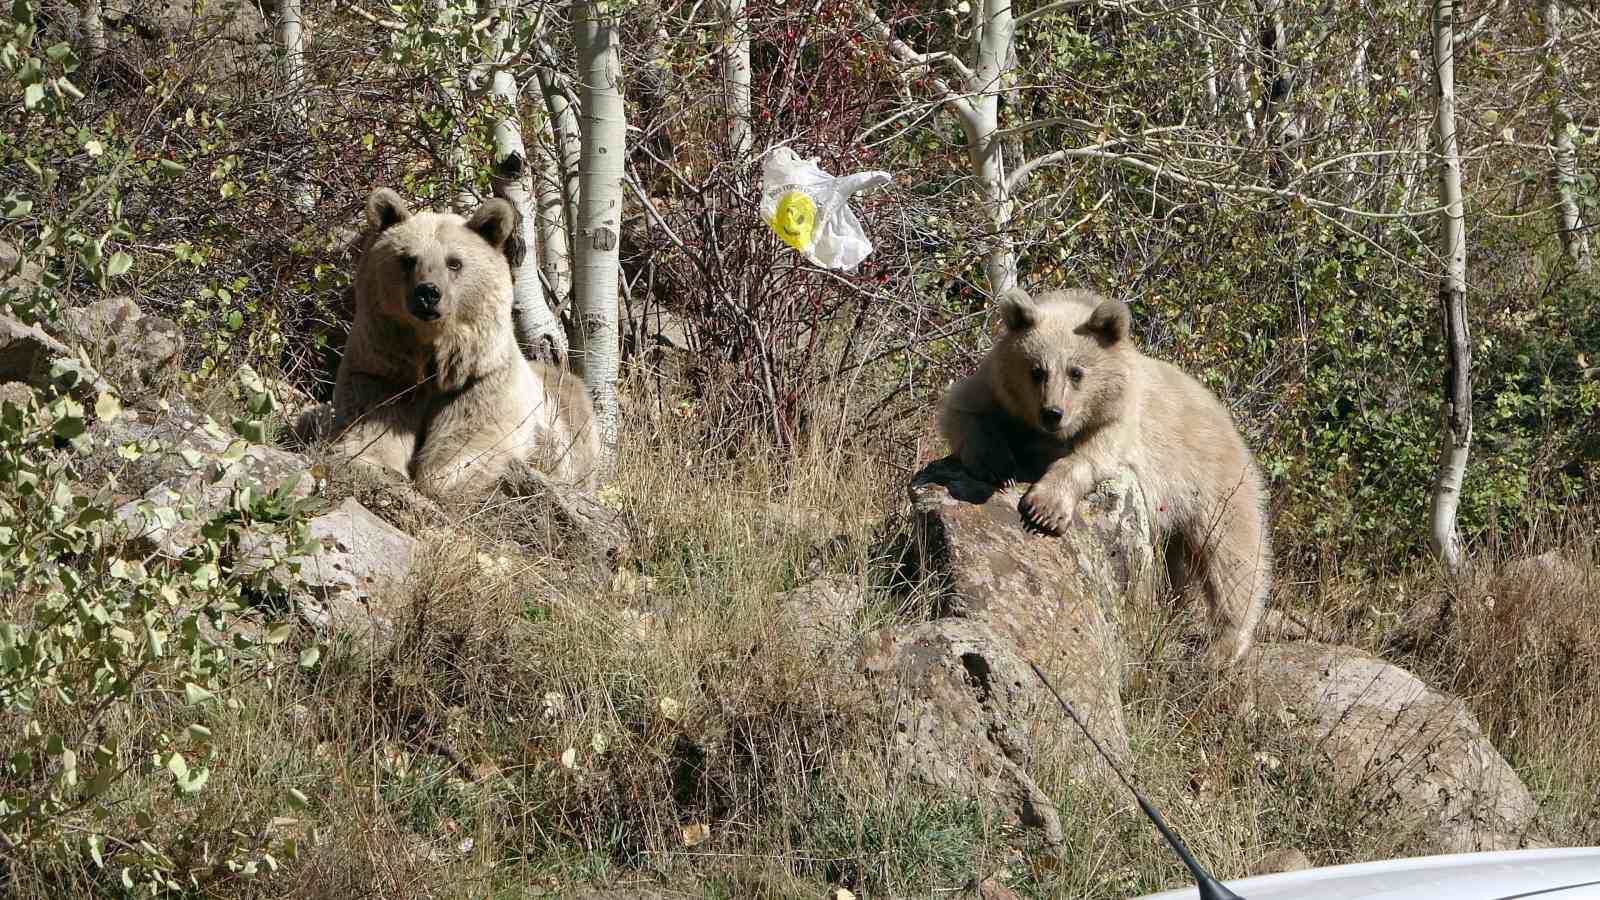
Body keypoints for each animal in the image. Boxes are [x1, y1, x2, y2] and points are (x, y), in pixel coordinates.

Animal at [331, 188, 601, 496]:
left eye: (454, 262)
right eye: (408, 259)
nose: (428, 293)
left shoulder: (483, 381)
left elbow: (471, 440)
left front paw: (441, 475)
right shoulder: (382, 371)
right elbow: (370, 423)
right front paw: (373, 461)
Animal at [940, 286, 1267, 666]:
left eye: (1076, 371)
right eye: (1037, 370)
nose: (1053, 413)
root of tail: (1229, 421)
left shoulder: (1121, 419)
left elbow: (1092, 455)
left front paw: (1044, 508)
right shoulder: (995, 390)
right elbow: (962, 409)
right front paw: (997, 464)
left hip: (1213, 480)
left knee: (1232, 554)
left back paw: (1223, 646)